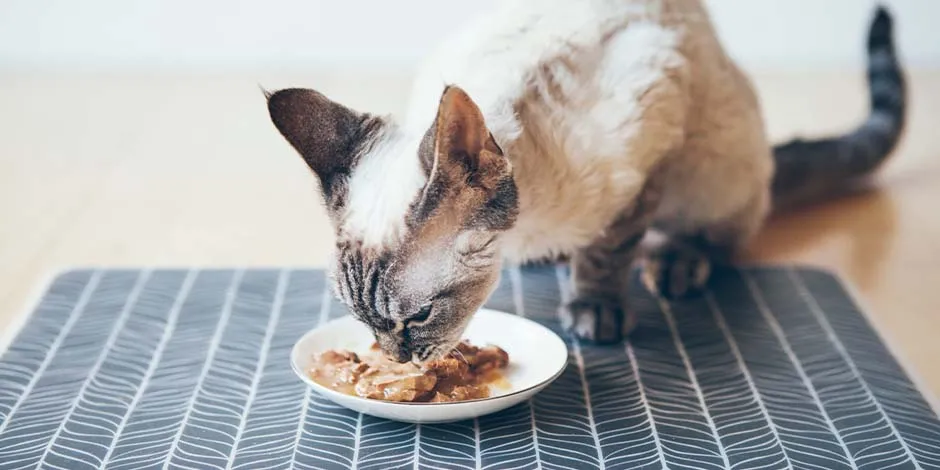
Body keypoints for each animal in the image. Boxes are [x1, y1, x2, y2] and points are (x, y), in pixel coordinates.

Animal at [262, 0, 904, 362]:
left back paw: (675, 262)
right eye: (362, 321)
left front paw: (595, 307)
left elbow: (609, 251)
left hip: (713, 169)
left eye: (416, 319)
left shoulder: (649, 151)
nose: (398, 359)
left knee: (716, 234)